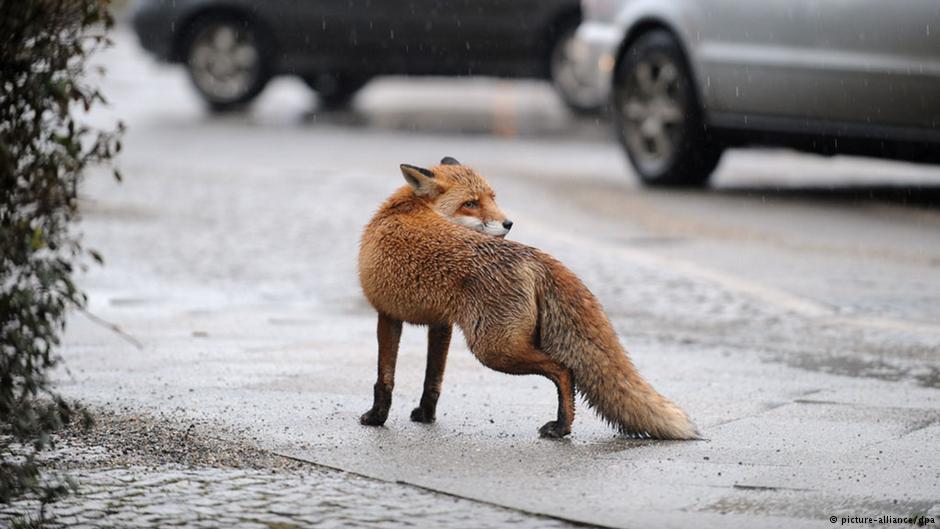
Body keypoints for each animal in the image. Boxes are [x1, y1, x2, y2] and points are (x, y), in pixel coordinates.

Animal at [358, 157, 696, 438]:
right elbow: (433, 378)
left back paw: (561, 427)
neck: (405, 208)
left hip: (494, 349)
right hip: (500, 344)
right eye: (471, 203)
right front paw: (426, 415)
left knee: (564, 369)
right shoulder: (441, 324)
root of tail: (533, 255)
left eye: (492, 198)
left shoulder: (386, 314)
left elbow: (384, 377)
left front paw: (376, 418)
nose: (508, 223)